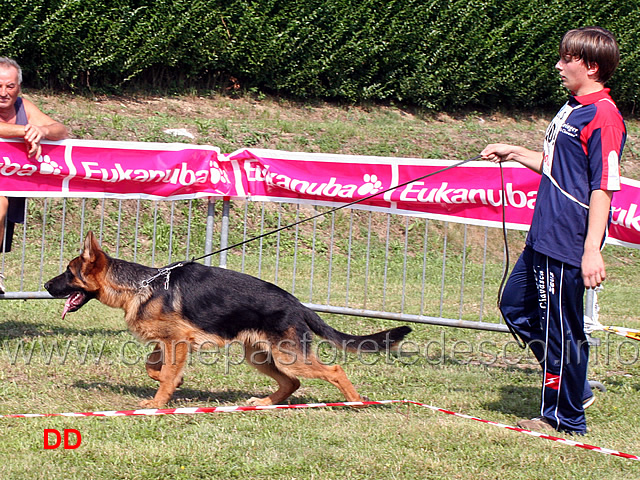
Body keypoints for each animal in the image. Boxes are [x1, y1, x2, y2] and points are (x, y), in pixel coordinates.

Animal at [46, 232, 416, 408]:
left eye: (68, 272)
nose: (46, 286)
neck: (141, 284)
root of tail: (298, 304)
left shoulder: (178, 342)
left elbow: (164, 375)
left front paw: (158, 401)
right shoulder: (168, 342)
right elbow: (155, 367)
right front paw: (172, 382)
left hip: (289, 357)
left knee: (334, 370)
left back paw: (355, 402)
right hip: (260, 356)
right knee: (292, 383)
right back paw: (265, 403)